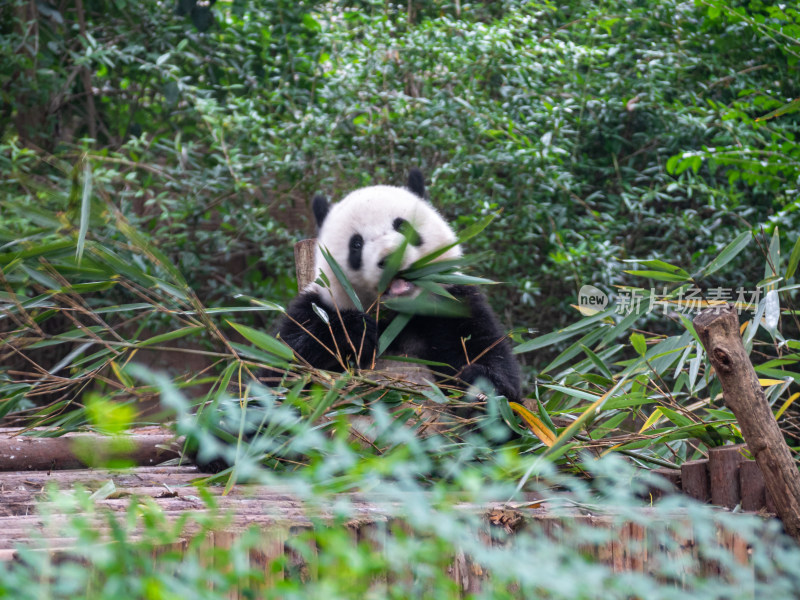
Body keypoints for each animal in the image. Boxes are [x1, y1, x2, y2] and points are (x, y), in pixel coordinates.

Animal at [278, 170, 520, 404]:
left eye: (402, 226)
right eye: (356, 244)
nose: (389, 258)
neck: (397, 318)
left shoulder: (454, 303)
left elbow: (487, 351)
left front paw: (481, 387)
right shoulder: (317, 307)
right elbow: (285, 366)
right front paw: (356, 331)